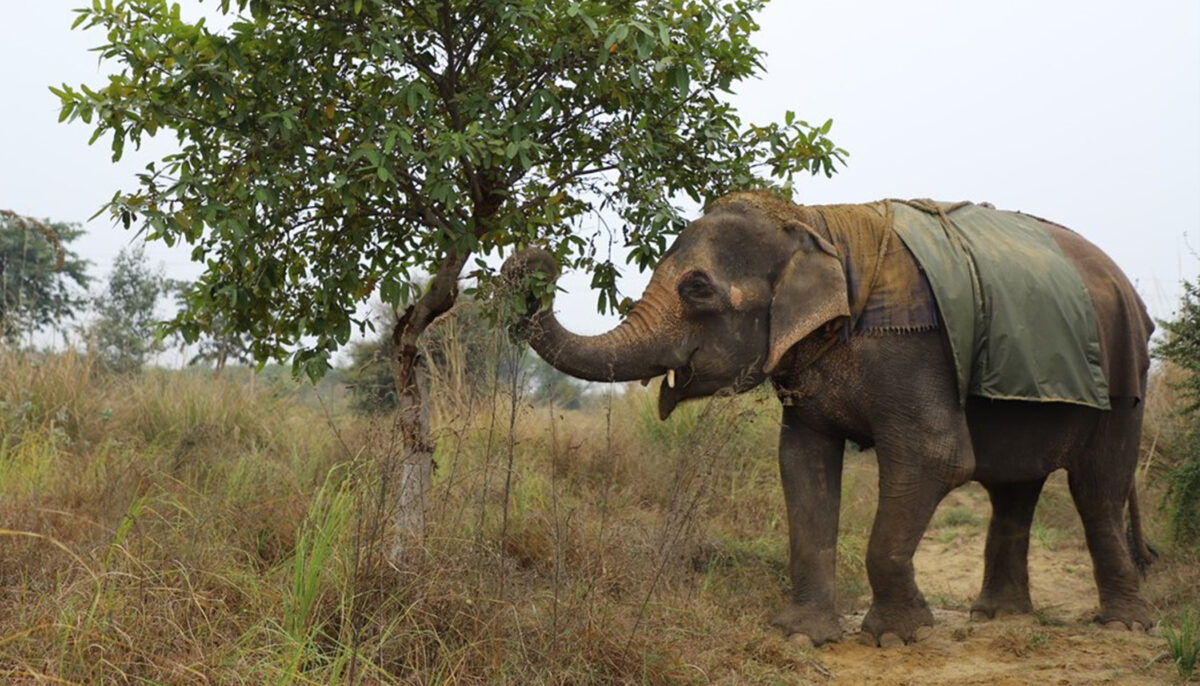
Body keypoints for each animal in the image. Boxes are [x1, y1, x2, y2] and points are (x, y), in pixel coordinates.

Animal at [501, 191, 1156, 648]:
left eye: (698, 289)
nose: (536, 258)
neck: (813, 224)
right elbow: (804, 463)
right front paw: (801, 635)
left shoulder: (914, 349)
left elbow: (935, 457)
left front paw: (899, 637)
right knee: (1013, 488)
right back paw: (999, 617)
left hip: (1125, 380)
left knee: (1097, 488)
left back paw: (1123, 627)